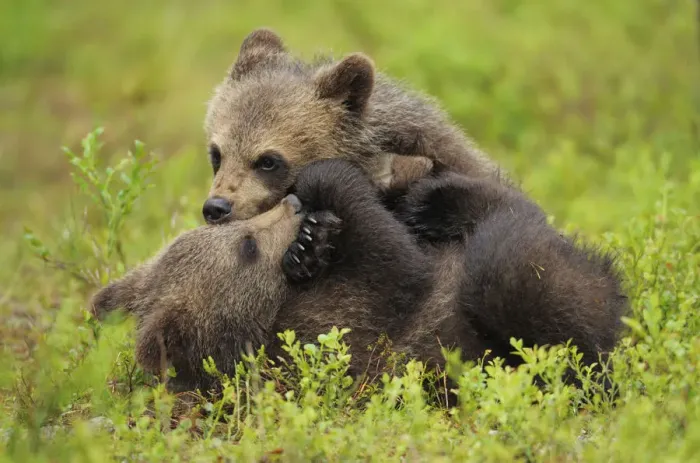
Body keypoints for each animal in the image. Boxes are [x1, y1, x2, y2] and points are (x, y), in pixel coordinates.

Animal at [91, 159, 627, 395]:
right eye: (246, 249)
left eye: (234, 231)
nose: (291, 204)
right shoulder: (345, 324)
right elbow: (396, 264)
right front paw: (321, 200)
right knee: (516, 274)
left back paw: (433, 199)